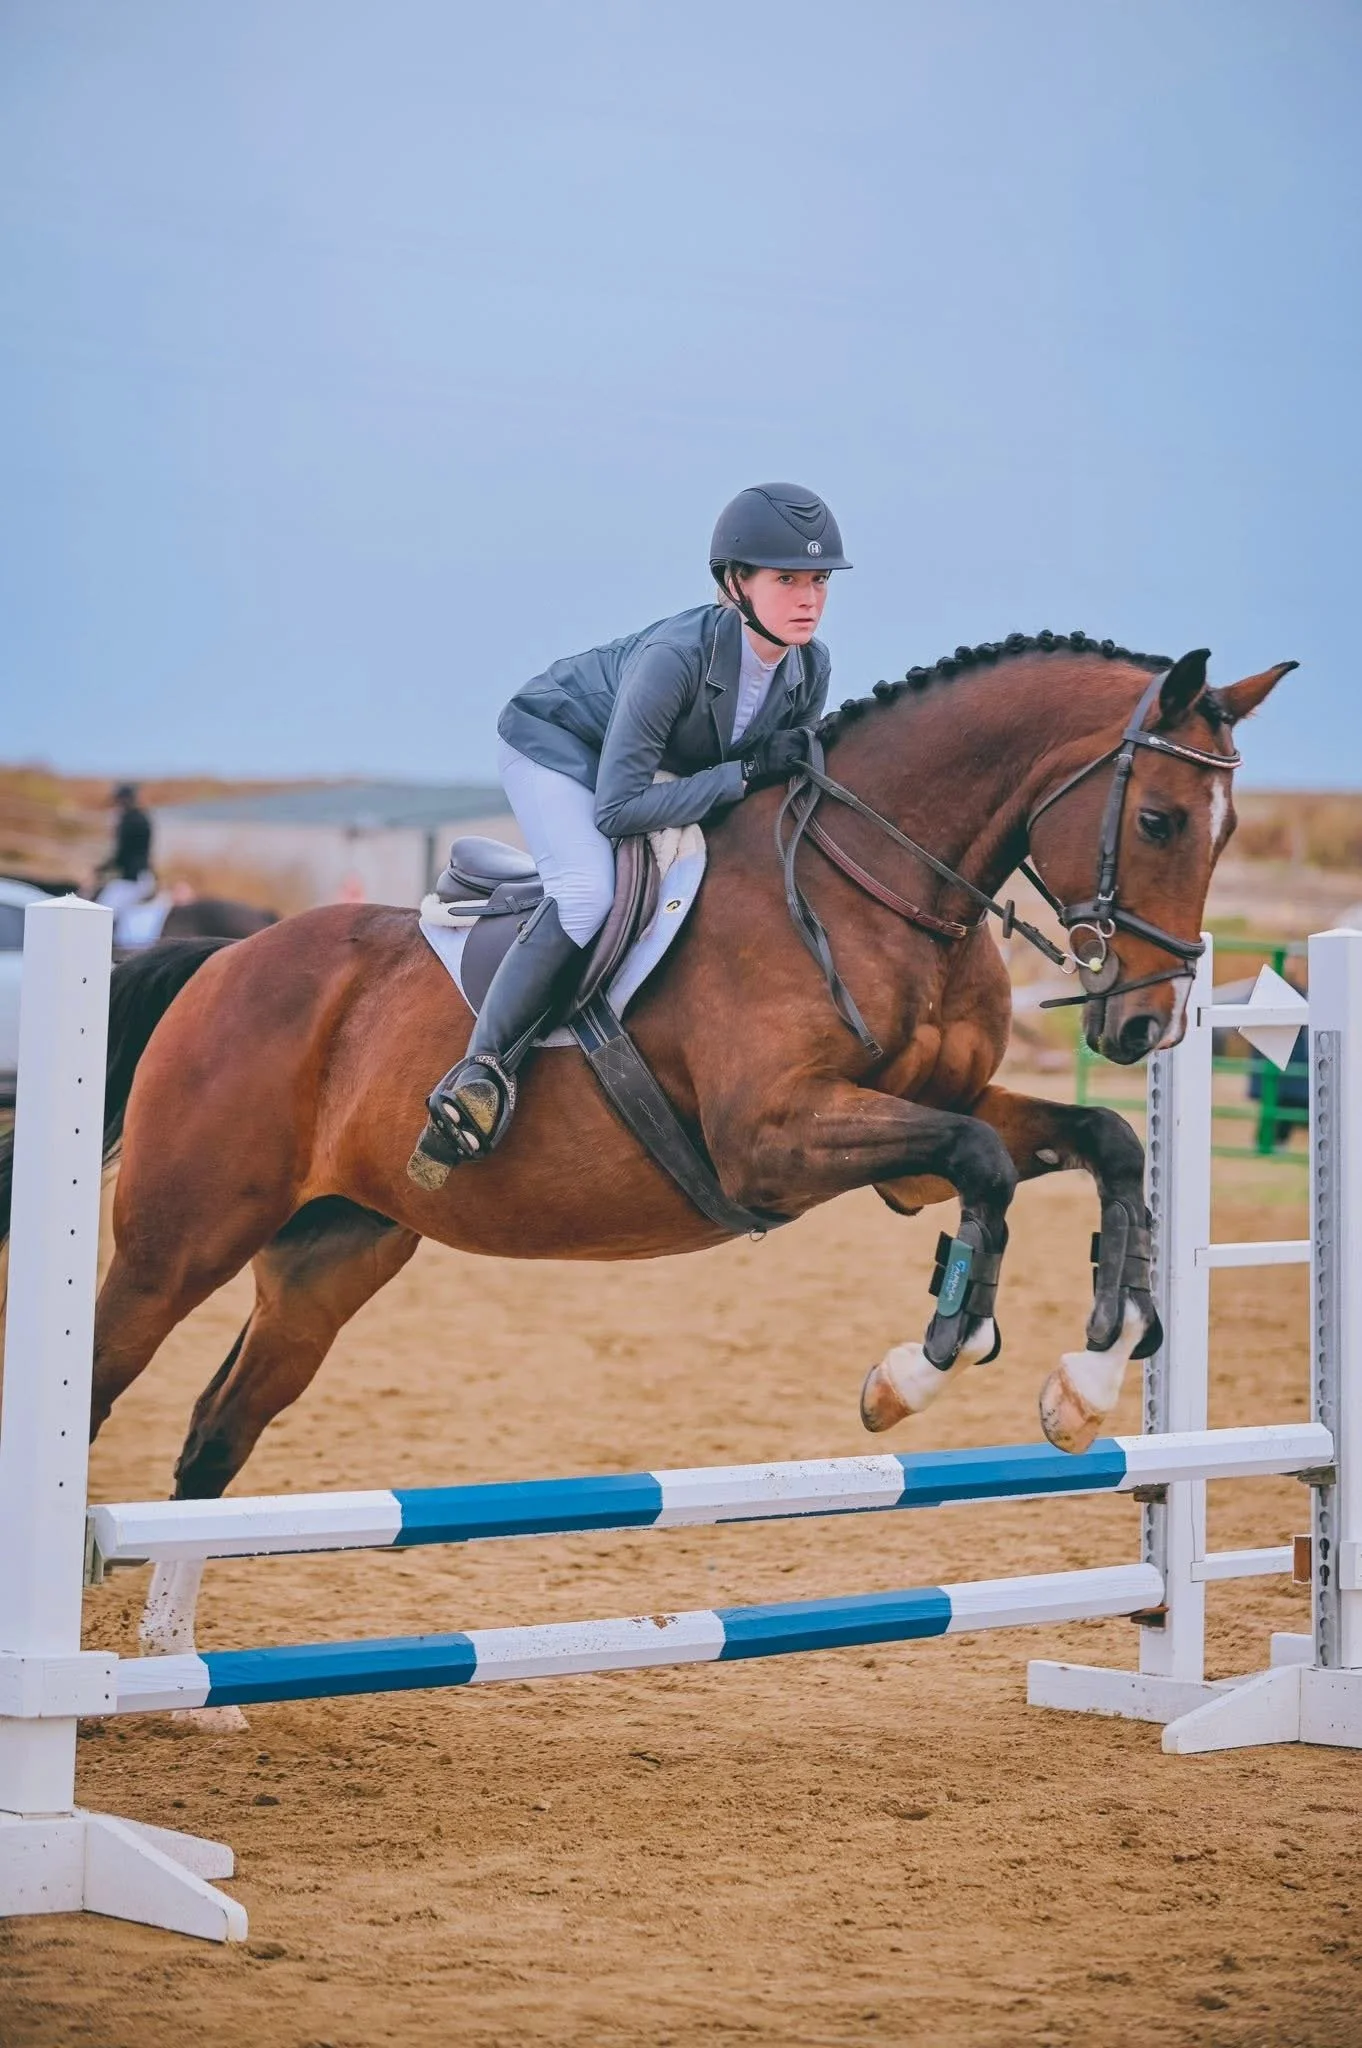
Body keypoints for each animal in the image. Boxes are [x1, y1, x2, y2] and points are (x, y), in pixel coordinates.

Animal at [0, 633, 1293, 1676]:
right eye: (1161, 818)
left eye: (1226, 830)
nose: (1149, 1024)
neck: (881, 886)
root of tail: (223, 959)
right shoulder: (777, 1138)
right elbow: (979, 1162)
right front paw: (920, 1366)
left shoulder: (918, 1132)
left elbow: (1100, 1141)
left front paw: (1090, 1370)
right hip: (179, 1241)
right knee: (97, 1384)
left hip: (330, 1258)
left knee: (216, 1430)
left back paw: (176, 1666)